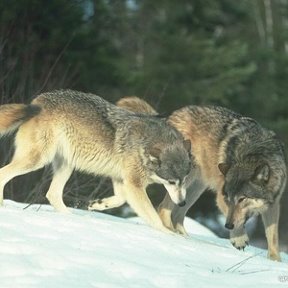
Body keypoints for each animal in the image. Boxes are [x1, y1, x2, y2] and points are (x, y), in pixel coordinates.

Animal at [0, 91, 192, 233]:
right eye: (171, 182)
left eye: (184, 181)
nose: (182, 203)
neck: (146, 143)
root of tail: (36, 103)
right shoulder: (134, 184)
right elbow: (153, 216)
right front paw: (169, 234)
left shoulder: (121, 179)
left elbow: (121, 199)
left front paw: (98, 204)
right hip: (37, 160)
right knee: (4, 174)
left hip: (66, 165)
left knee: (52, 195)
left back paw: (71, 217)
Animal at [116, 96, 286, 260]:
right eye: (228, 199)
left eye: (242, 199)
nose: (227, 226)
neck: (254, 153)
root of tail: (169, 116)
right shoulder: (220, 197)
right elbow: (236, 221)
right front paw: (239, 238)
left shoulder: (274, 204)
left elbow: (273, 238)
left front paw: (275, 261)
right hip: (184, 181)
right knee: (163, 208)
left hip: (195, 189)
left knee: (177, 215)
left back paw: (186, 238)